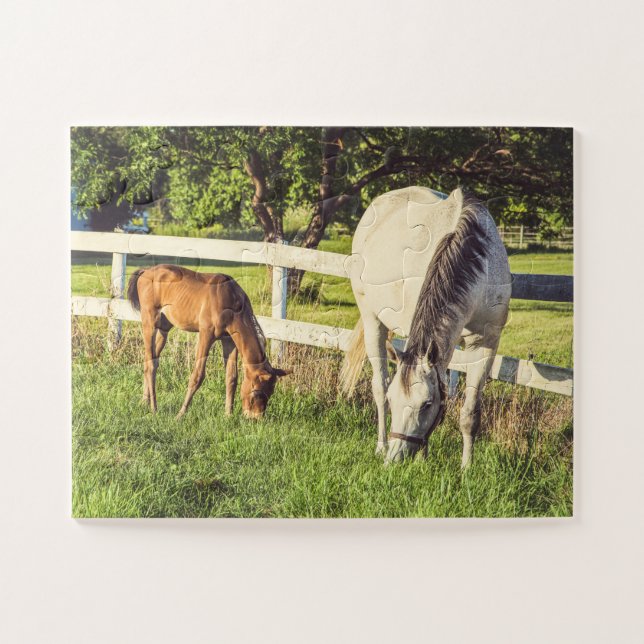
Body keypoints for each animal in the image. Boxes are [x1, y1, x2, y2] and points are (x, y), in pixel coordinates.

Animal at [127, 265, 291, 419]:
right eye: (256, 392)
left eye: (270, 393)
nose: (255, 419)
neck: (230, 299)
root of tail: (146, 271)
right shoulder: (206, 335)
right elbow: (197, 375)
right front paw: (180, 414)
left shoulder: (230, 340)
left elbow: (231, 377)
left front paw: (228, 415)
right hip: (150, 323)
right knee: (150, 364)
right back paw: (154, 408)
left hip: (163, 328)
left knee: (151, 360)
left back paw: (144, 402)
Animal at [340, 187, 511, 467]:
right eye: (395, 401)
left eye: (427, 404)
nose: (395, 459)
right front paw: (423, 458)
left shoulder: (486, 343)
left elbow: (470, 412)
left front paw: (466, 468)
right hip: (372, 320)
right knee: (379, 385)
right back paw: (381, 445)